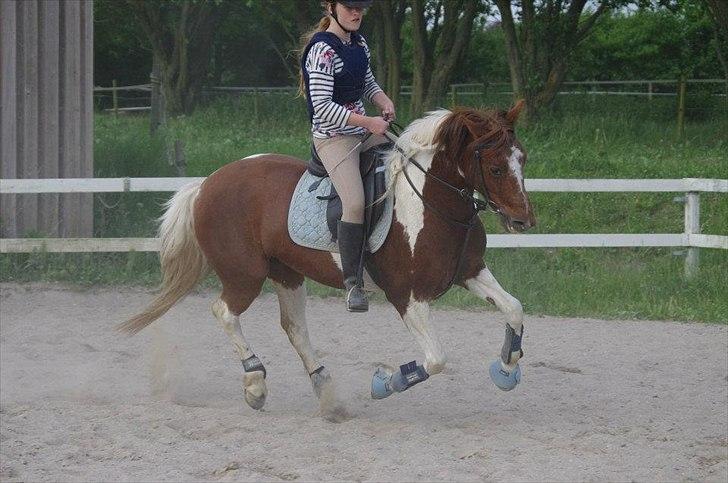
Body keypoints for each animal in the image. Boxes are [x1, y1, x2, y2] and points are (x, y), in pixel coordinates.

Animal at [120, 102, 536, 418]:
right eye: (495, 167)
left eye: (523, 159)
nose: (523, 221)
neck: (432, 205)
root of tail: (206, 183)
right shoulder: (408, 296)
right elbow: (436, 359)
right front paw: (385, 382)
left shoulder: (470, 272)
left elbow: (514, 308)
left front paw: (506, 368)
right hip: (245, 275)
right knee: (225, 312)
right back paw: (255, 384)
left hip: (286, 272)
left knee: (294, 327)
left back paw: (325, 390)